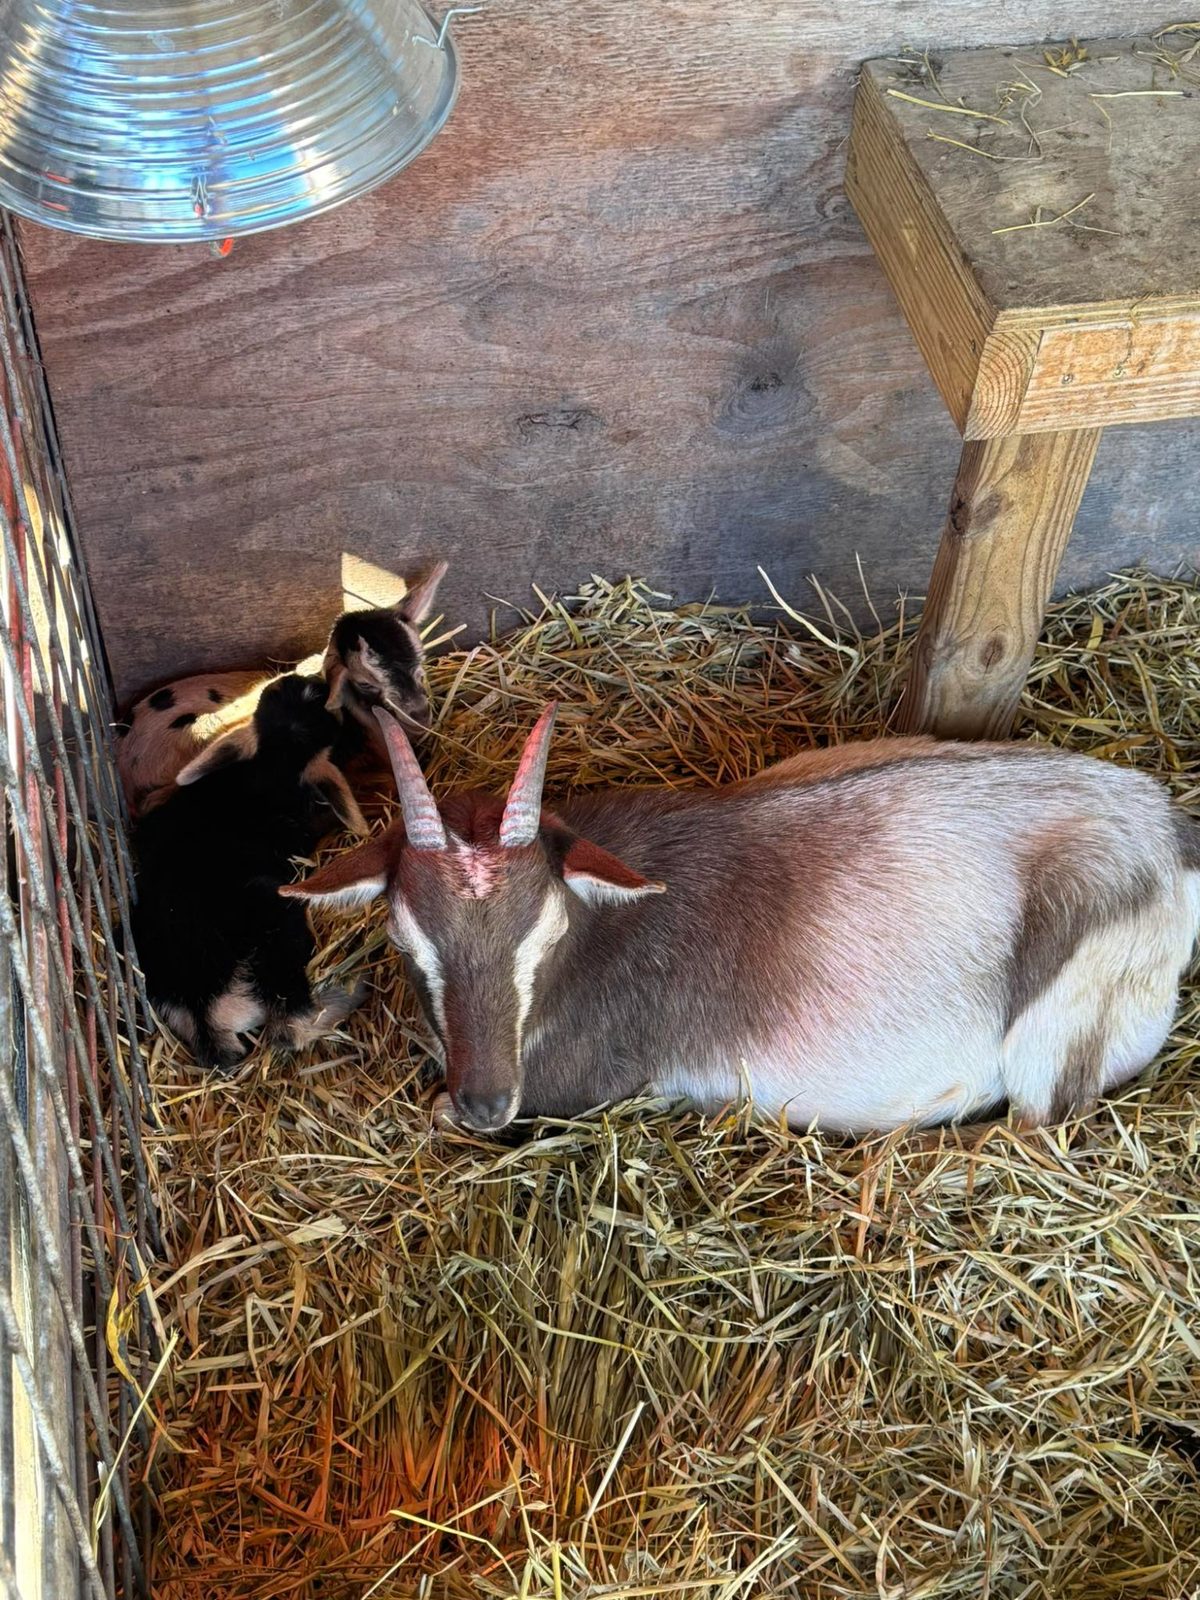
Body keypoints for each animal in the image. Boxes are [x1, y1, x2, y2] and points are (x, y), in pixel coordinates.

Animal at [132, 673, 369, 1072]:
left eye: (275, 695)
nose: (310, 678)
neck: (267, 771)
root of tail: (203, 1011)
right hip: (276, 928)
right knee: (291, 1027)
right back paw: (355, 985)